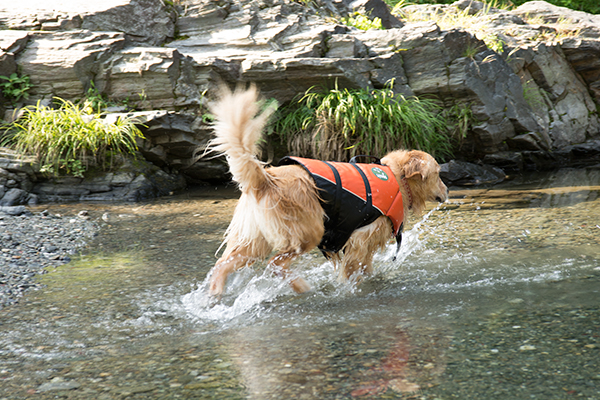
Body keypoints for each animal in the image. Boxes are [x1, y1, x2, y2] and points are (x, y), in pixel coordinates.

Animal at [205, 84, 446, 298]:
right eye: (438, 173)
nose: (447, 191)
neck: (397, 178)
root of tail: (265, 178)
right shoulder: (361, 240)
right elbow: (353, 271)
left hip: (253, 242)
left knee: (222, 265)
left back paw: (214, 295)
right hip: (308, 232)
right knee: (274, 264)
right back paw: (301, 286)